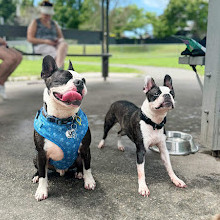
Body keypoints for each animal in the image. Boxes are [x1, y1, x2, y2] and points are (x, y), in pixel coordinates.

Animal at [32, 55, 95, 201]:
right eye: (64, 78)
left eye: (84, 79)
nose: (80, 82)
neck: (63, 118)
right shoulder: (41, 154)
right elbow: (43, 175)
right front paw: (41, 190)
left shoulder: (85, 149)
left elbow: (87, 167)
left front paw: (89, 181)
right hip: (35, 157)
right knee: (41, 170)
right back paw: (36, 176)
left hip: (79, 157)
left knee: (81, 165)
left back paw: (79, 173)